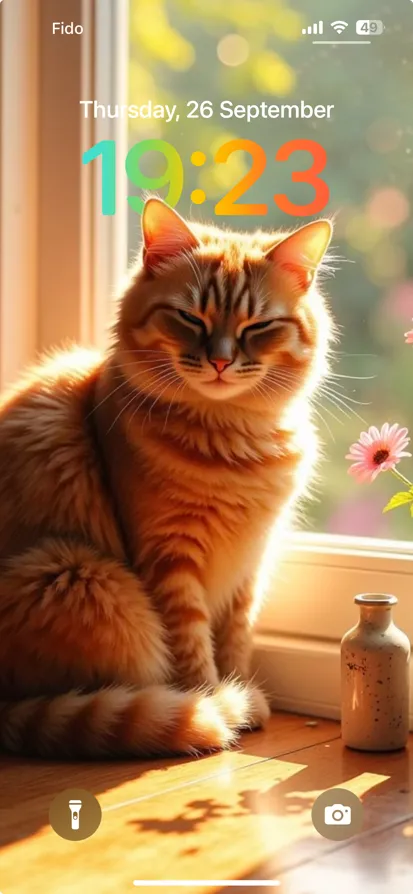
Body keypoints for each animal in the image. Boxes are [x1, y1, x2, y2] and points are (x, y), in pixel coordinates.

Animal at [0, 198, 332, 756]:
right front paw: (214, 702)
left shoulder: (249, 567)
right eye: (189, 317)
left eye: (257, 327)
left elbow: (236, 638)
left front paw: (238, 689)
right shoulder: (170, 560)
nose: (220, 361)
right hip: (84, 577)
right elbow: (193, 646)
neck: (232, 439)